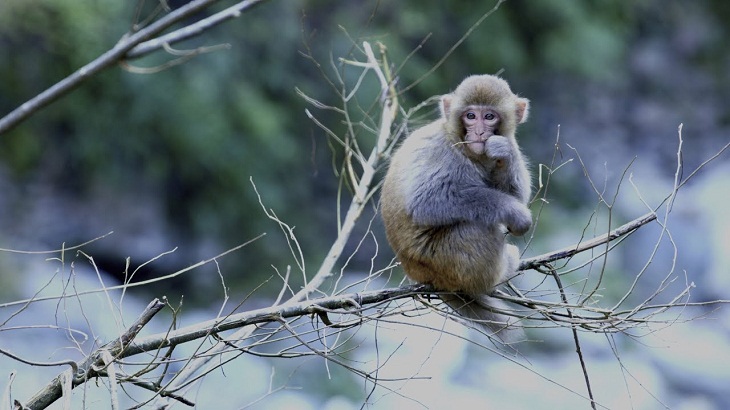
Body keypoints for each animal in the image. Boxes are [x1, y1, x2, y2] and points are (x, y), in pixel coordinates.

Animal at [382, 74, 528, 342]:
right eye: (470, 116)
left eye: (489, 116)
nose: (479, 132)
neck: (462, 146)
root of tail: (418, 274)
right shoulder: (441, 151)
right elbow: (426, 201)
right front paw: (515, 212)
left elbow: (516, 192)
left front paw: (505, 153)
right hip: (443, 259)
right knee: (478, 229)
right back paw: (502, 271)